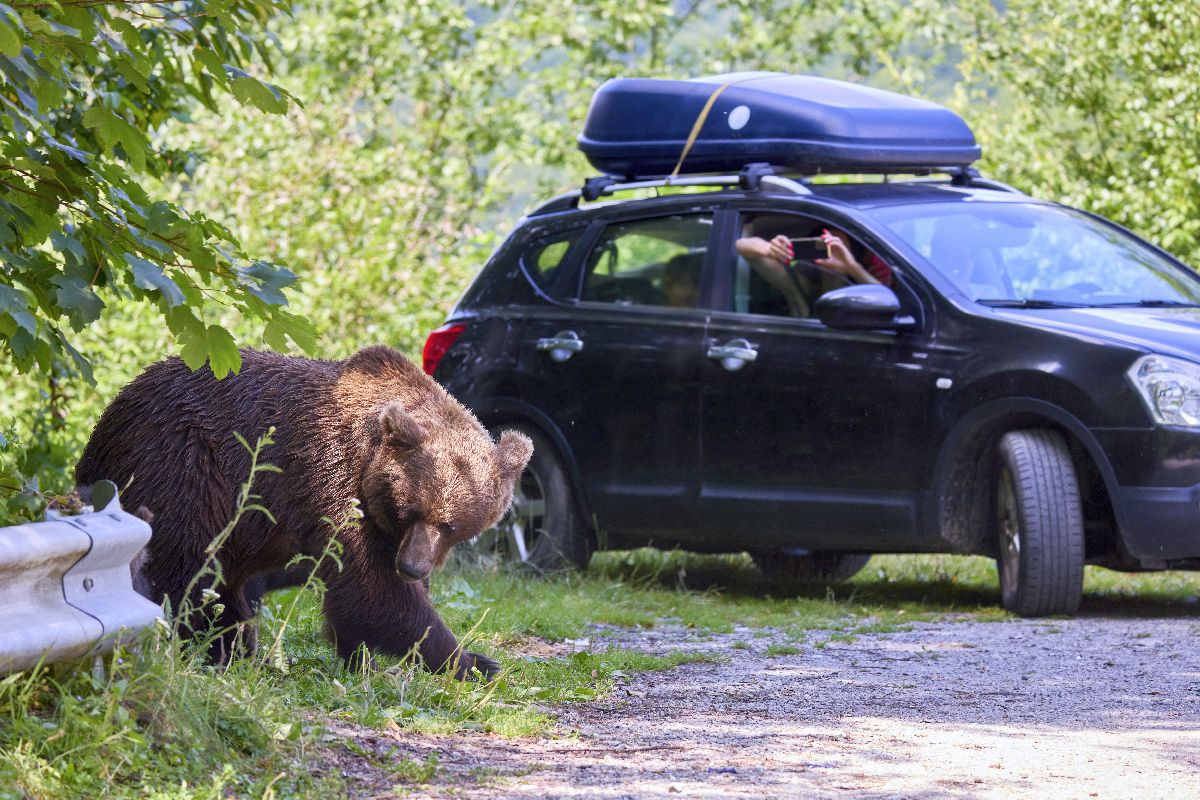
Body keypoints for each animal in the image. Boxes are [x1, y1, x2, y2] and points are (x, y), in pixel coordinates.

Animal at [71, 345, 530, 676]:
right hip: (182, 459)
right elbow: (372, 590)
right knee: (191, 562)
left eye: (451, 525)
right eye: (412, 510)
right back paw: (216, 648)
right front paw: (469, 661)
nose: (414, 567)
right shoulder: (330, 480)